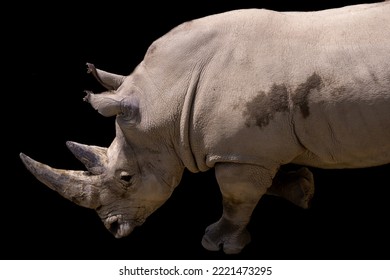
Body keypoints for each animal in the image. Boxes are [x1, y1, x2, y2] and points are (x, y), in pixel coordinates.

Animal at [20, 1, 390, 254]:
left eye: (126, 178)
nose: (113, 229)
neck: (170, 94)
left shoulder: (239, 154)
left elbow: (236, 197)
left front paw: (218, 244)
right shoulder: (252, 150)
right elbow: (266, 181)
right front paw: (302, 189)